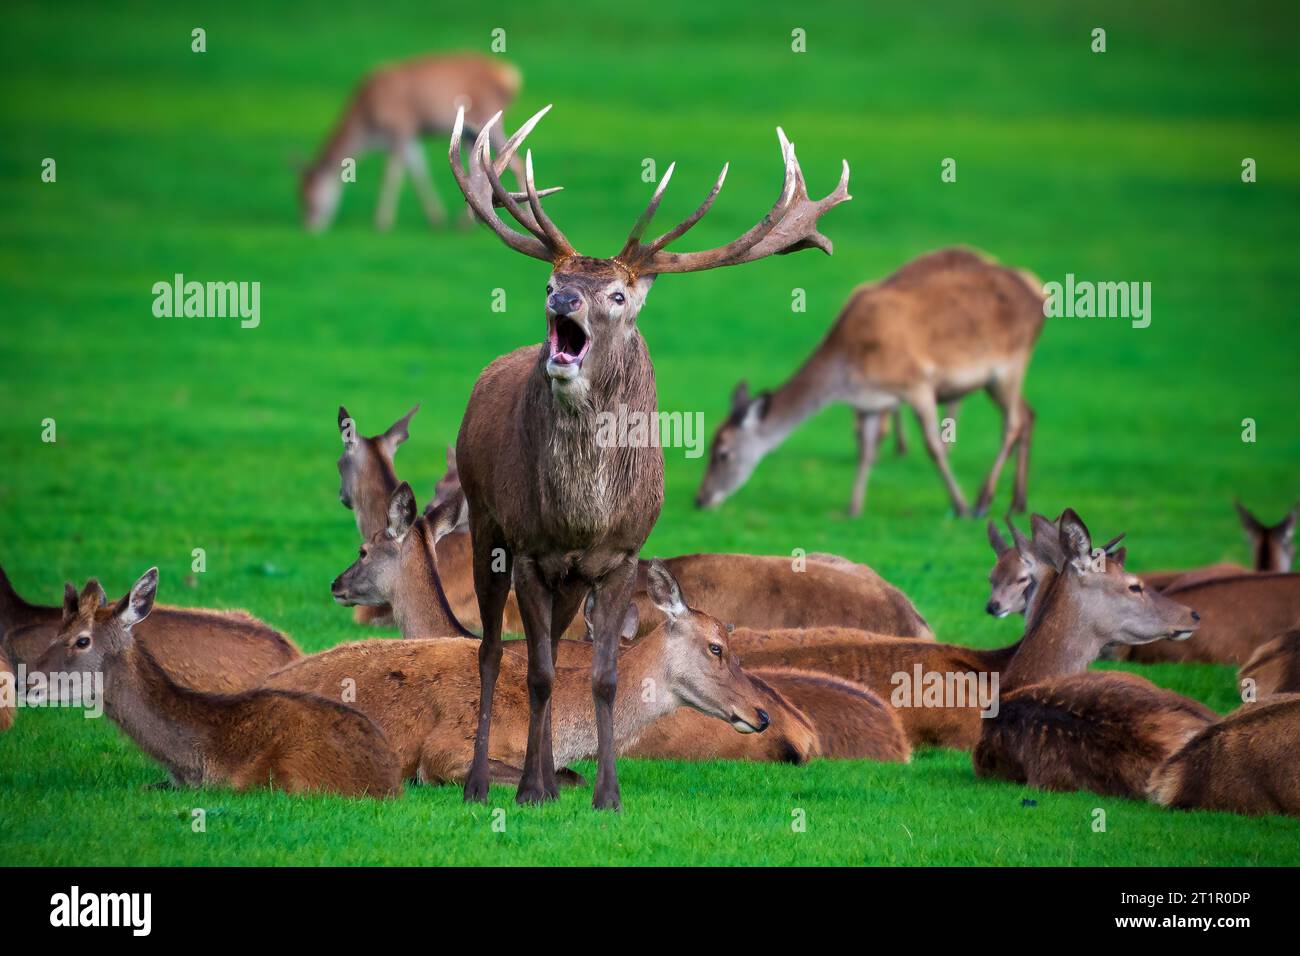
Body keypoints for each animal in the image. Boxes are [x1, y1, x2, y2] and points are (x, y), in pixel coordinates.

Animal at [301, 53, 541, 232]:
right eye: (300, 193)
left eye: (310, 196)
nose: (309, 226)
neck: (368, 128)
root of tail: (511, 76)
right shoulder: (411, 136)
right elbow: (419, 170)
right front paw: (436, 217)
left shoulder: (401, 127)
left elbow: (392, 174)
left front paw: (382, 222)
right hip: (471, 133)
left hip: (489, 116)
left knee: (516, 161)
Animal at [445, 104, 849, 809]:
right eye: (551, 282)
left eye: (617, 295)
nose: (563, 301)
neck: (584, 516)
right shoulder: (530, 550)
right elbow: (538, 671)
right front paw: (530, 789)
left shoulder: (619, 557)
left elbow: (599, 676)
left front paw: (604, 794)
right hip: (487, 526)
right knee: (494, 651)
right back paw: (482, 784)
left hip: (566, 579)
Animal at [694, 247, 1046, 518]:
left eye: (722, 453)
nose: (700, 499)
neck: (848, 370)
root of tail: (1039, 294)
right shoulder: (869, 403)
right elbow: (865, 450)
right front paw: (852, 509)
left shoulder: (917, 384)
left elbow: (933, 446)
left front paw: (960, 507)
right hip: (995, 379)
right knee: (1028, 413)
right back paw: (1018, 502)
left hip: (1011, 364)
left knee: (1012, 422)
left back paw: (983, 501)